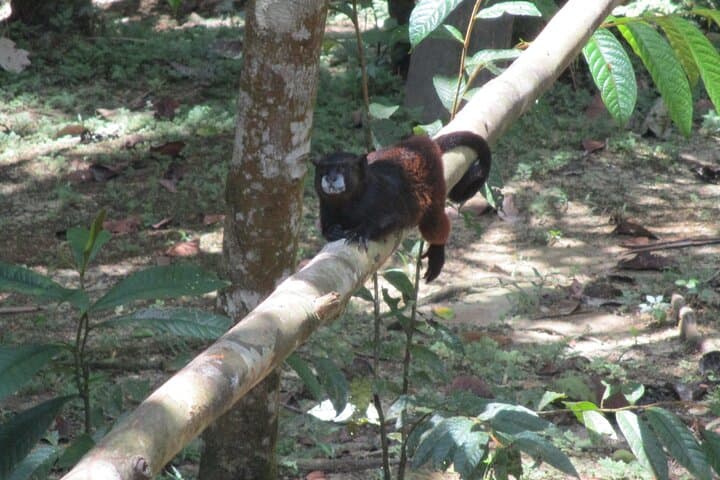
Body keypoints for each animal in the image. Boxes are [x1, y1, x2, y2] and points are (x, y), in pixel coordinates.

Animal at [312, 131, 491, 282]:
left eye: (342, 168)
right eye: (324, 170)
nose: (330, 178)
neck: (349, 201)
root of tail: (421, 143)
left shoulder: (380, 196)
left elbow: (391, 218)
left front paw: (361, 232)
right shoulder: (325, 206)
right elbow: (326, 230)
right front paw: (333, 230)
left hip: (435, 180)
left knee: (433, 220)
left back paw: (437, 251)